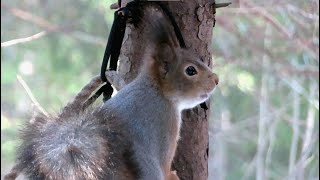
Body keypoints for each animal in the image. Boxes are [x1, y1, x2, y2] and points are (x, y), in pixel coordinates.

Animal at [5, 8, 219, 180]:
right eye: (190, 70)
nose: (216, 80)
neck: (157, 91)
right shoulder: (165, 128)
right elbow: (166, 168)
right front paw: (173, 175)